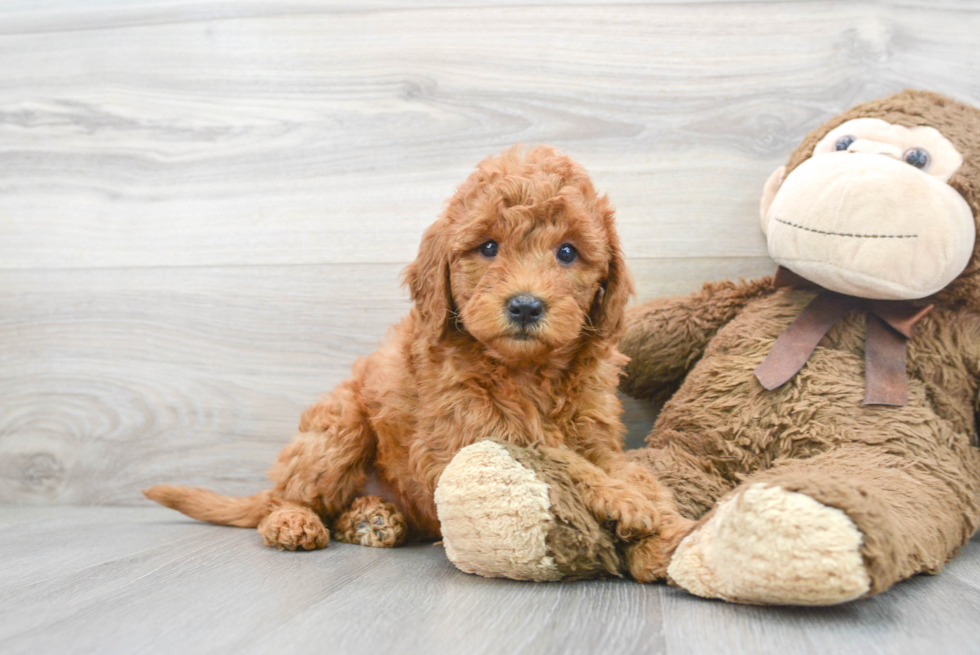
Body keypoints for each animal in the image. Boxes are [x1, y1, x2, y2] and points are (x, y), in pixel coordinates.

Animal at [145, 146, 688, 568]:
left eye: (568, 252)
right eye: (488, 247)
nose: (525, 305)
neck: (527, 370)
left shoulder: (595, 435)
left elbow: (627, 468)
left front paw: (667, 528)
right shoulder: (467, 436)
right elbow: (554, 457)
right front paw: (625, 502)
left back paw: (373, 519)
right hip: (340, 426)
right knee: (288, 495)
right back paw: (295, 521)